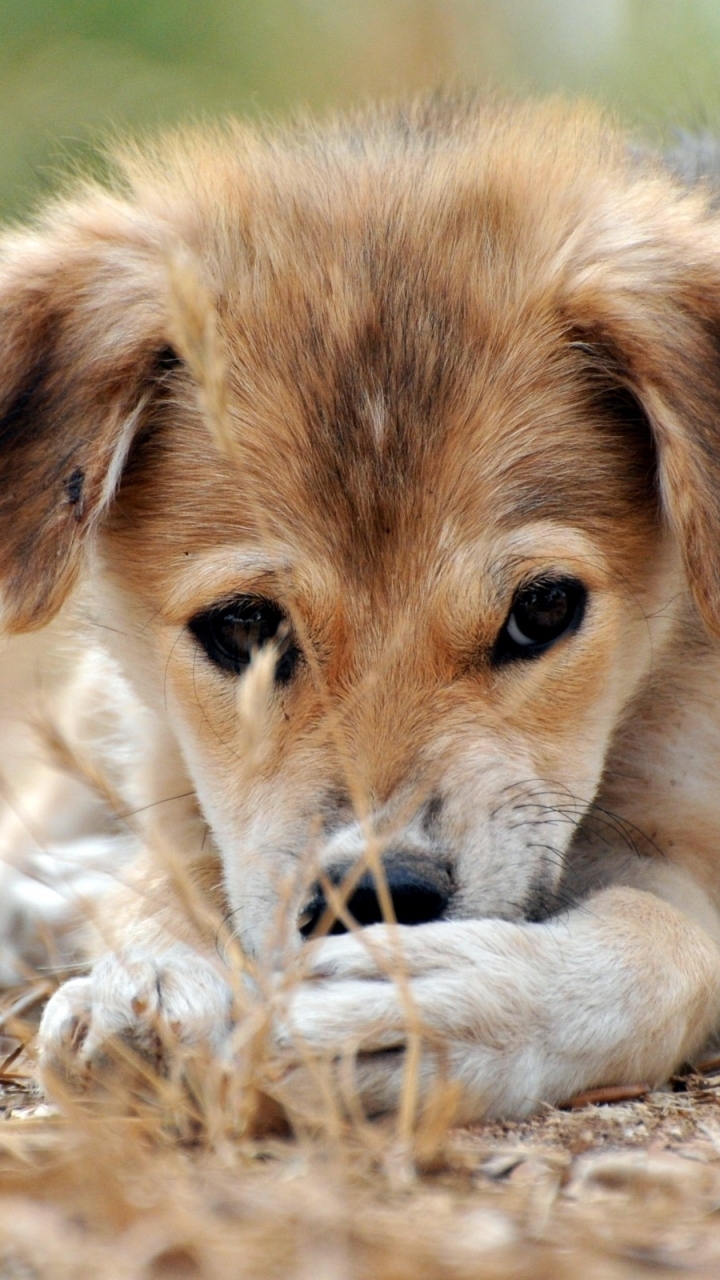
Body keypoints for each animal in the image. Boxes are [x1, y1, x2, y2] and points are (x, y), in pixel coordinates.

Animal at [0, 97, 717, 1121]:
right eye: (244, 626)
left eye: (543, 608)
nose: (379, 901)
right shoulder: (178, 764)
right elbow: (171, 872)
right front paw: (147, 983)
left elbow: (666, 945)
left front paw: (436, 1010)